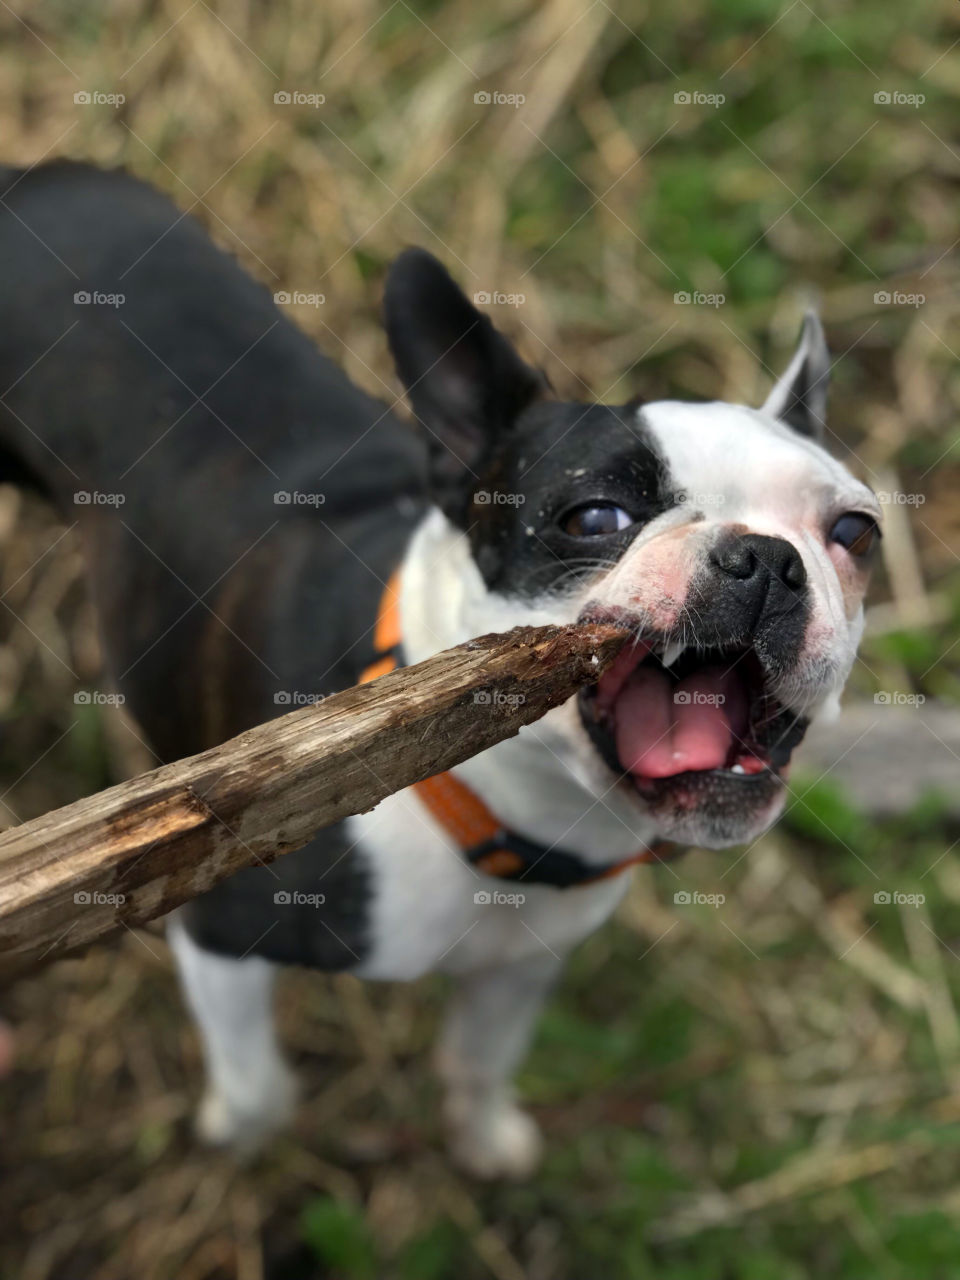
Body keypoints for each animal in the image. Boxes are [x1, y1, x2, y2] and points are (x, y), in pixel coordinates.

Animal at [0, 162, 880, 1177]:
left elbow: (478, 1061)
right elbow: (260, 1091)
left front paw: (482, 1142)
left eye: (856, 532)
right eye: (593, 518)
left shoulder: (522, 963)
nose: (765, 559)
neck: (497, 816)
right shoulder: (217, 930)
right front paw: (234, 1146)